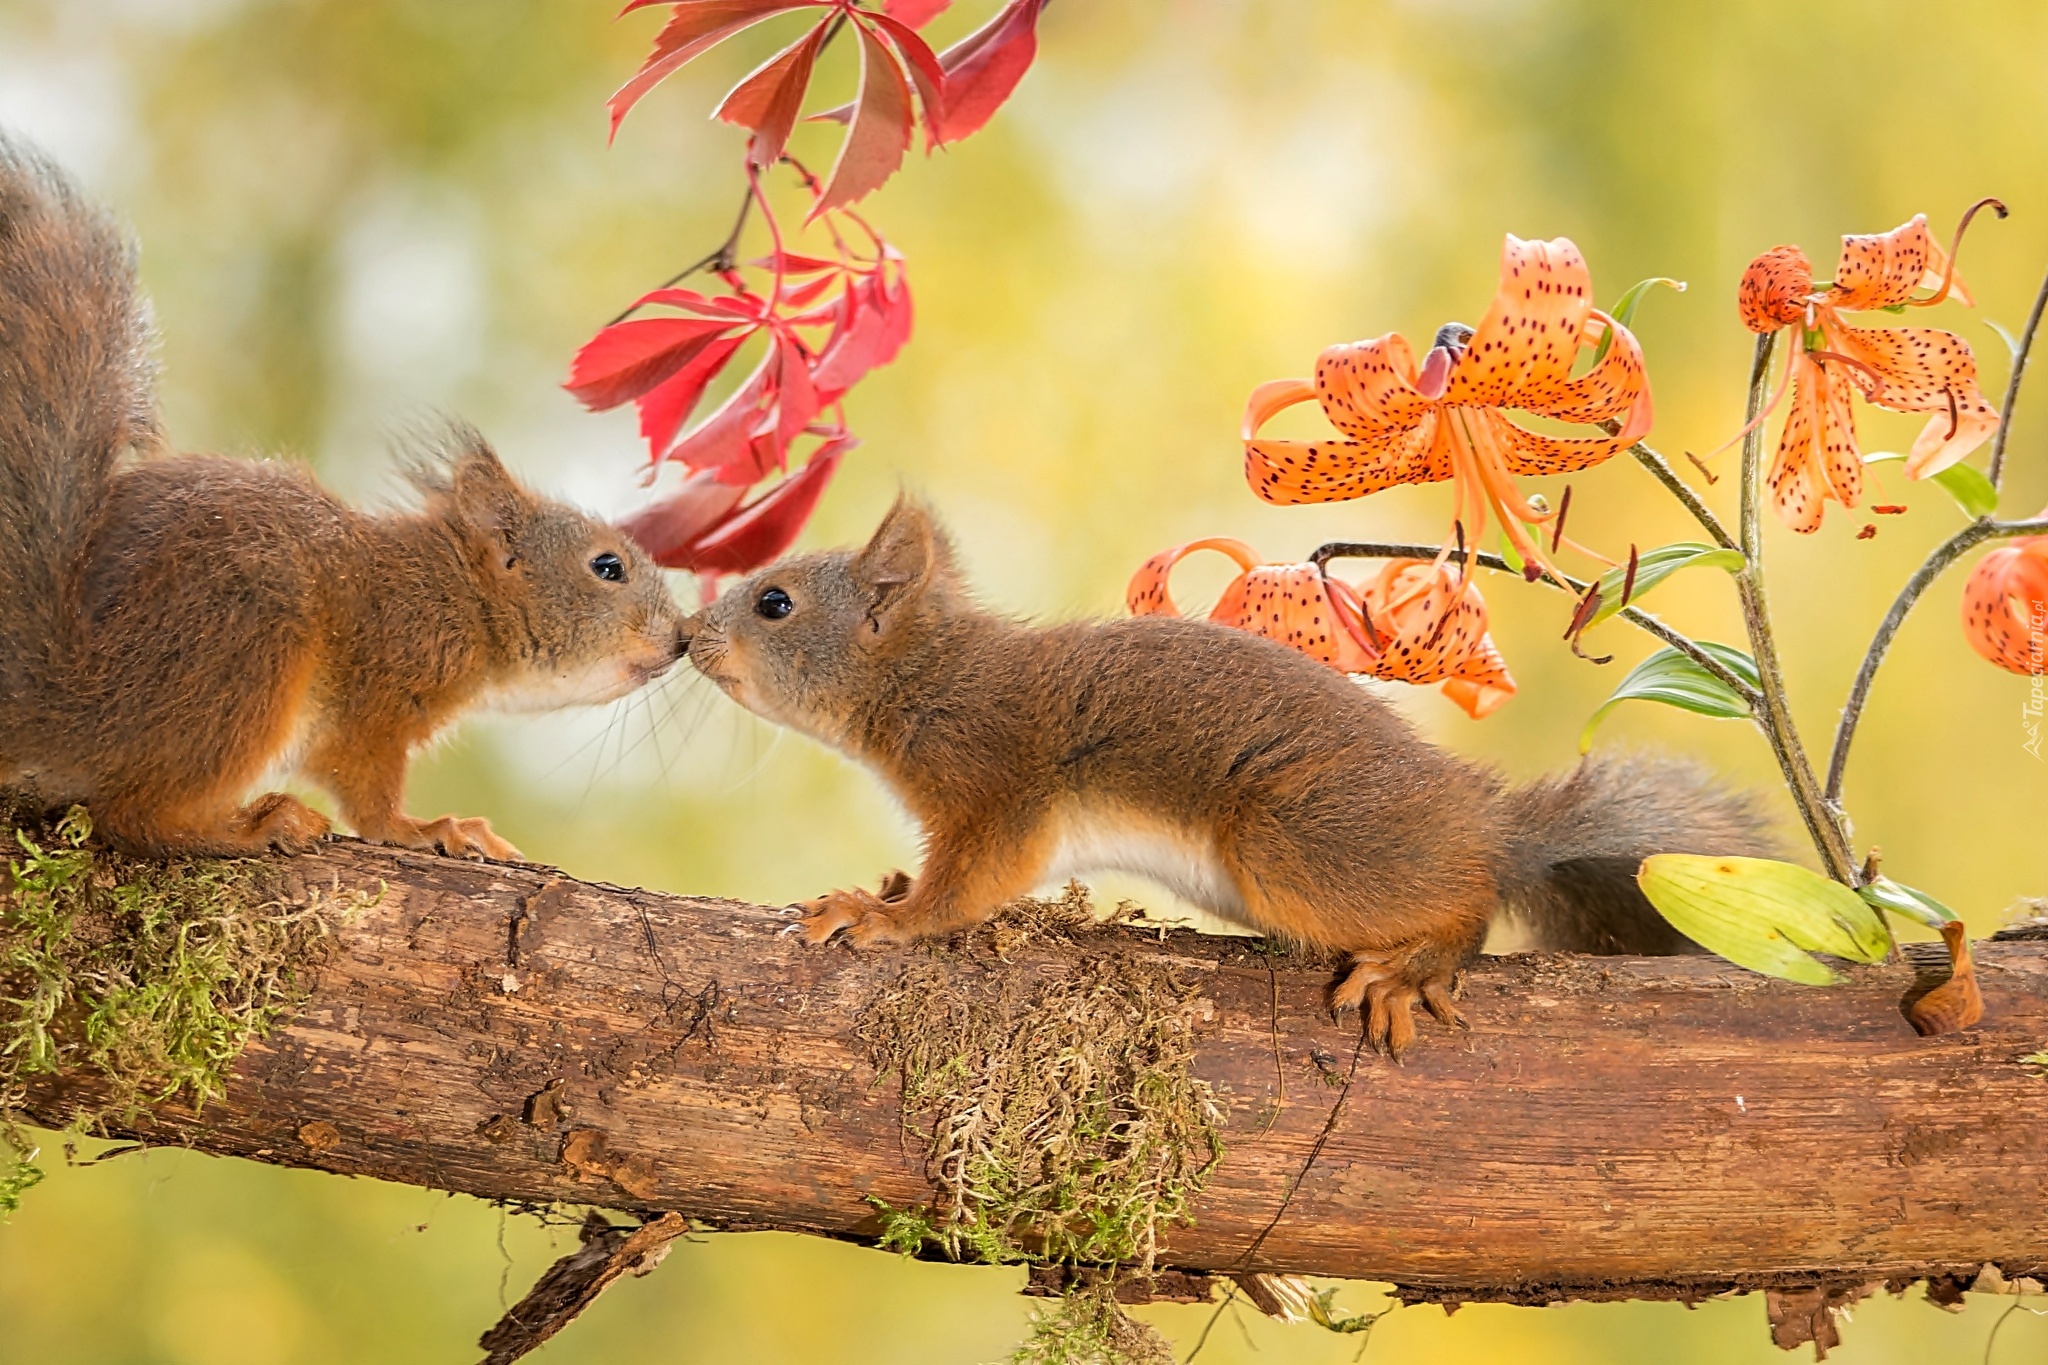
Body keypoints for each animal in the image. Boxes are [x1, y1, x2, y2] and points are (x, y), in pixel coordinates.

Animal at [0, 133, 688, 859]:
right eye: (607, 567)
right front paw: (427, 829)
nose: (681, 638)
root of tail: (62, 697)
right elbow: (364, 785)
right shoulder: (379, 693)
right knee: (131, 813)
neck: (456, 595)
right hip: (248, 654)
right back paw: (257, 824)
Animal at [688, 501, 1777, 1055]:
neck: (926, 677)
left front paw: (882, 917)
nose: (689, 635)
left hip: (1292, 844)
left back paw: (1415, 963)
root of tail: (1486, 825)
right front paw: (886, 885)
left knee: (1465, 906)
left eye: (774, 602)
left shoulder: (998, 781)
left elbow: (968, 887)